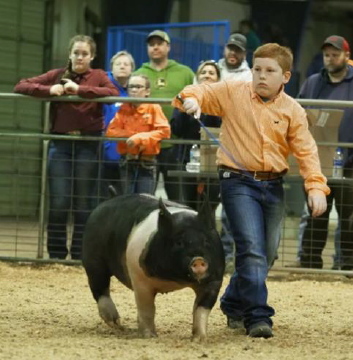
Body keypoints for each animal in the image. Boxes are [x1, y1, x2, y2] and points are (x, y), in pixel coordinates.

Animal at [82, 194, 224, 340]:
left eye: (206, 240)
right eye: (178, 242)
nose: (198, 259)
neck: (174, 280)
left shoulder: (215, 278)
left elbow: (201, 308)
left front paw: (199, 338)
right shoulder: (139, 278)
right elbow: (147, 308)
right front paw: (149, 336)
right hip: (93, 259)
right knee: (99, 287)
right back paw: (117, 324)